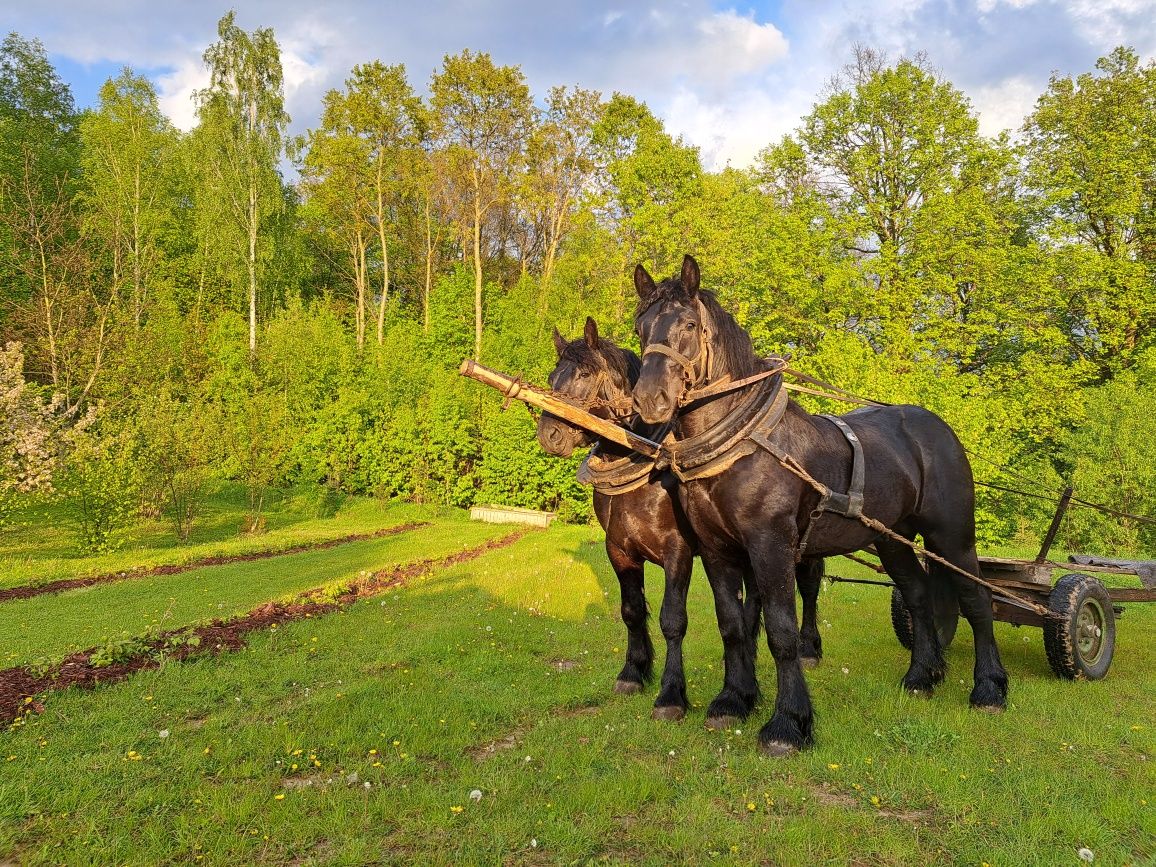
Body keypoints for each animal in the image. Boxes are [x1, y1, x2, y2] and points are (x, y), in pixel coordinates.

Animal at [536, 316, 827, 721]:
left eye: (584, 373)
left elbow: (672, 619)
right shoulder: (619, 550)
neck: (645, 466)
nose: (550, 434)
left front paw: (671, 693)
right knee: (753, 599)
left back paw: (809, 649)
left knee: (809, 587)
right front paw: (633, 672)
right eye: (552, 376)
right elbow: (631, 610)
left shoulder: (679, 552)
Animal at [633, 256, 1003, 753]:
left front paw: (788, 723)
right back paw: (921, 677)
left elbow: (781, 632)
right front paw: (732, 700)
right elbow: (732, 624)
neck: (742, 444)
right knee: (919, 596)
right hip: (893, 539)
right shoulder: (715, 549)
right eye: (641, 327)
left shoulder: (770, 546)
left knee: (977, 599)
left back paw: (989, 688)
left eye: (689, 324)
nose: (649, 399)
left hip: (952, 535)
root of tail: (937, 427)